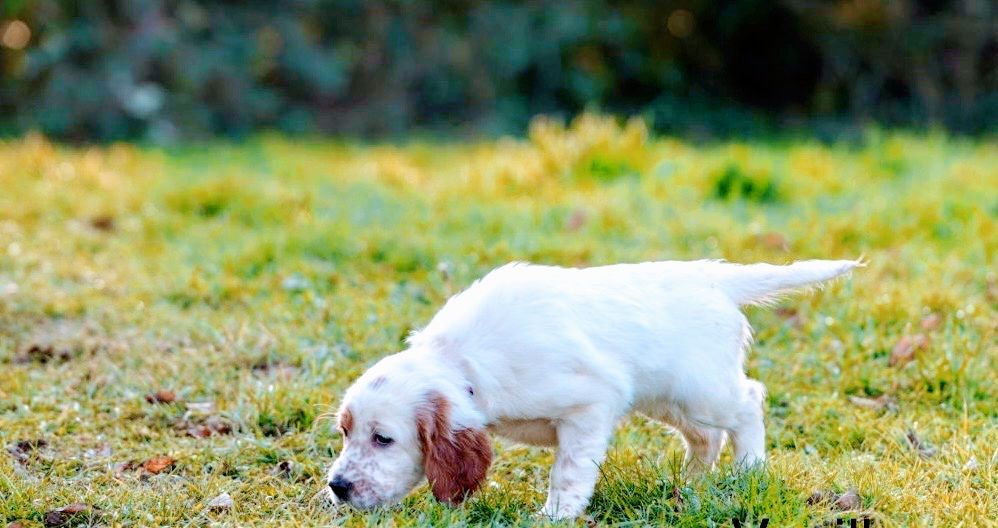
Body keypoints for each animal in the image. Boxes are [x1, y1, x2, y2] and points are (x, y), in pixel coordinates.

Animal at [328, 260, 860, 520]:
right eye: (345, 433)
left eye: (383, 439)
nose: (338, 486)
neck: (464, 362)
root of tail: (712, 276)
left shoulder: (589, 405)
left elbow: (568, 471)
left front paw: (554, 514)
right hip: (666, 397)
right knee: (705, 436)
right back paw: (692, 484)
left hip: (702, 388)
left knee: (749, 401)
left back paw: (749, 471)